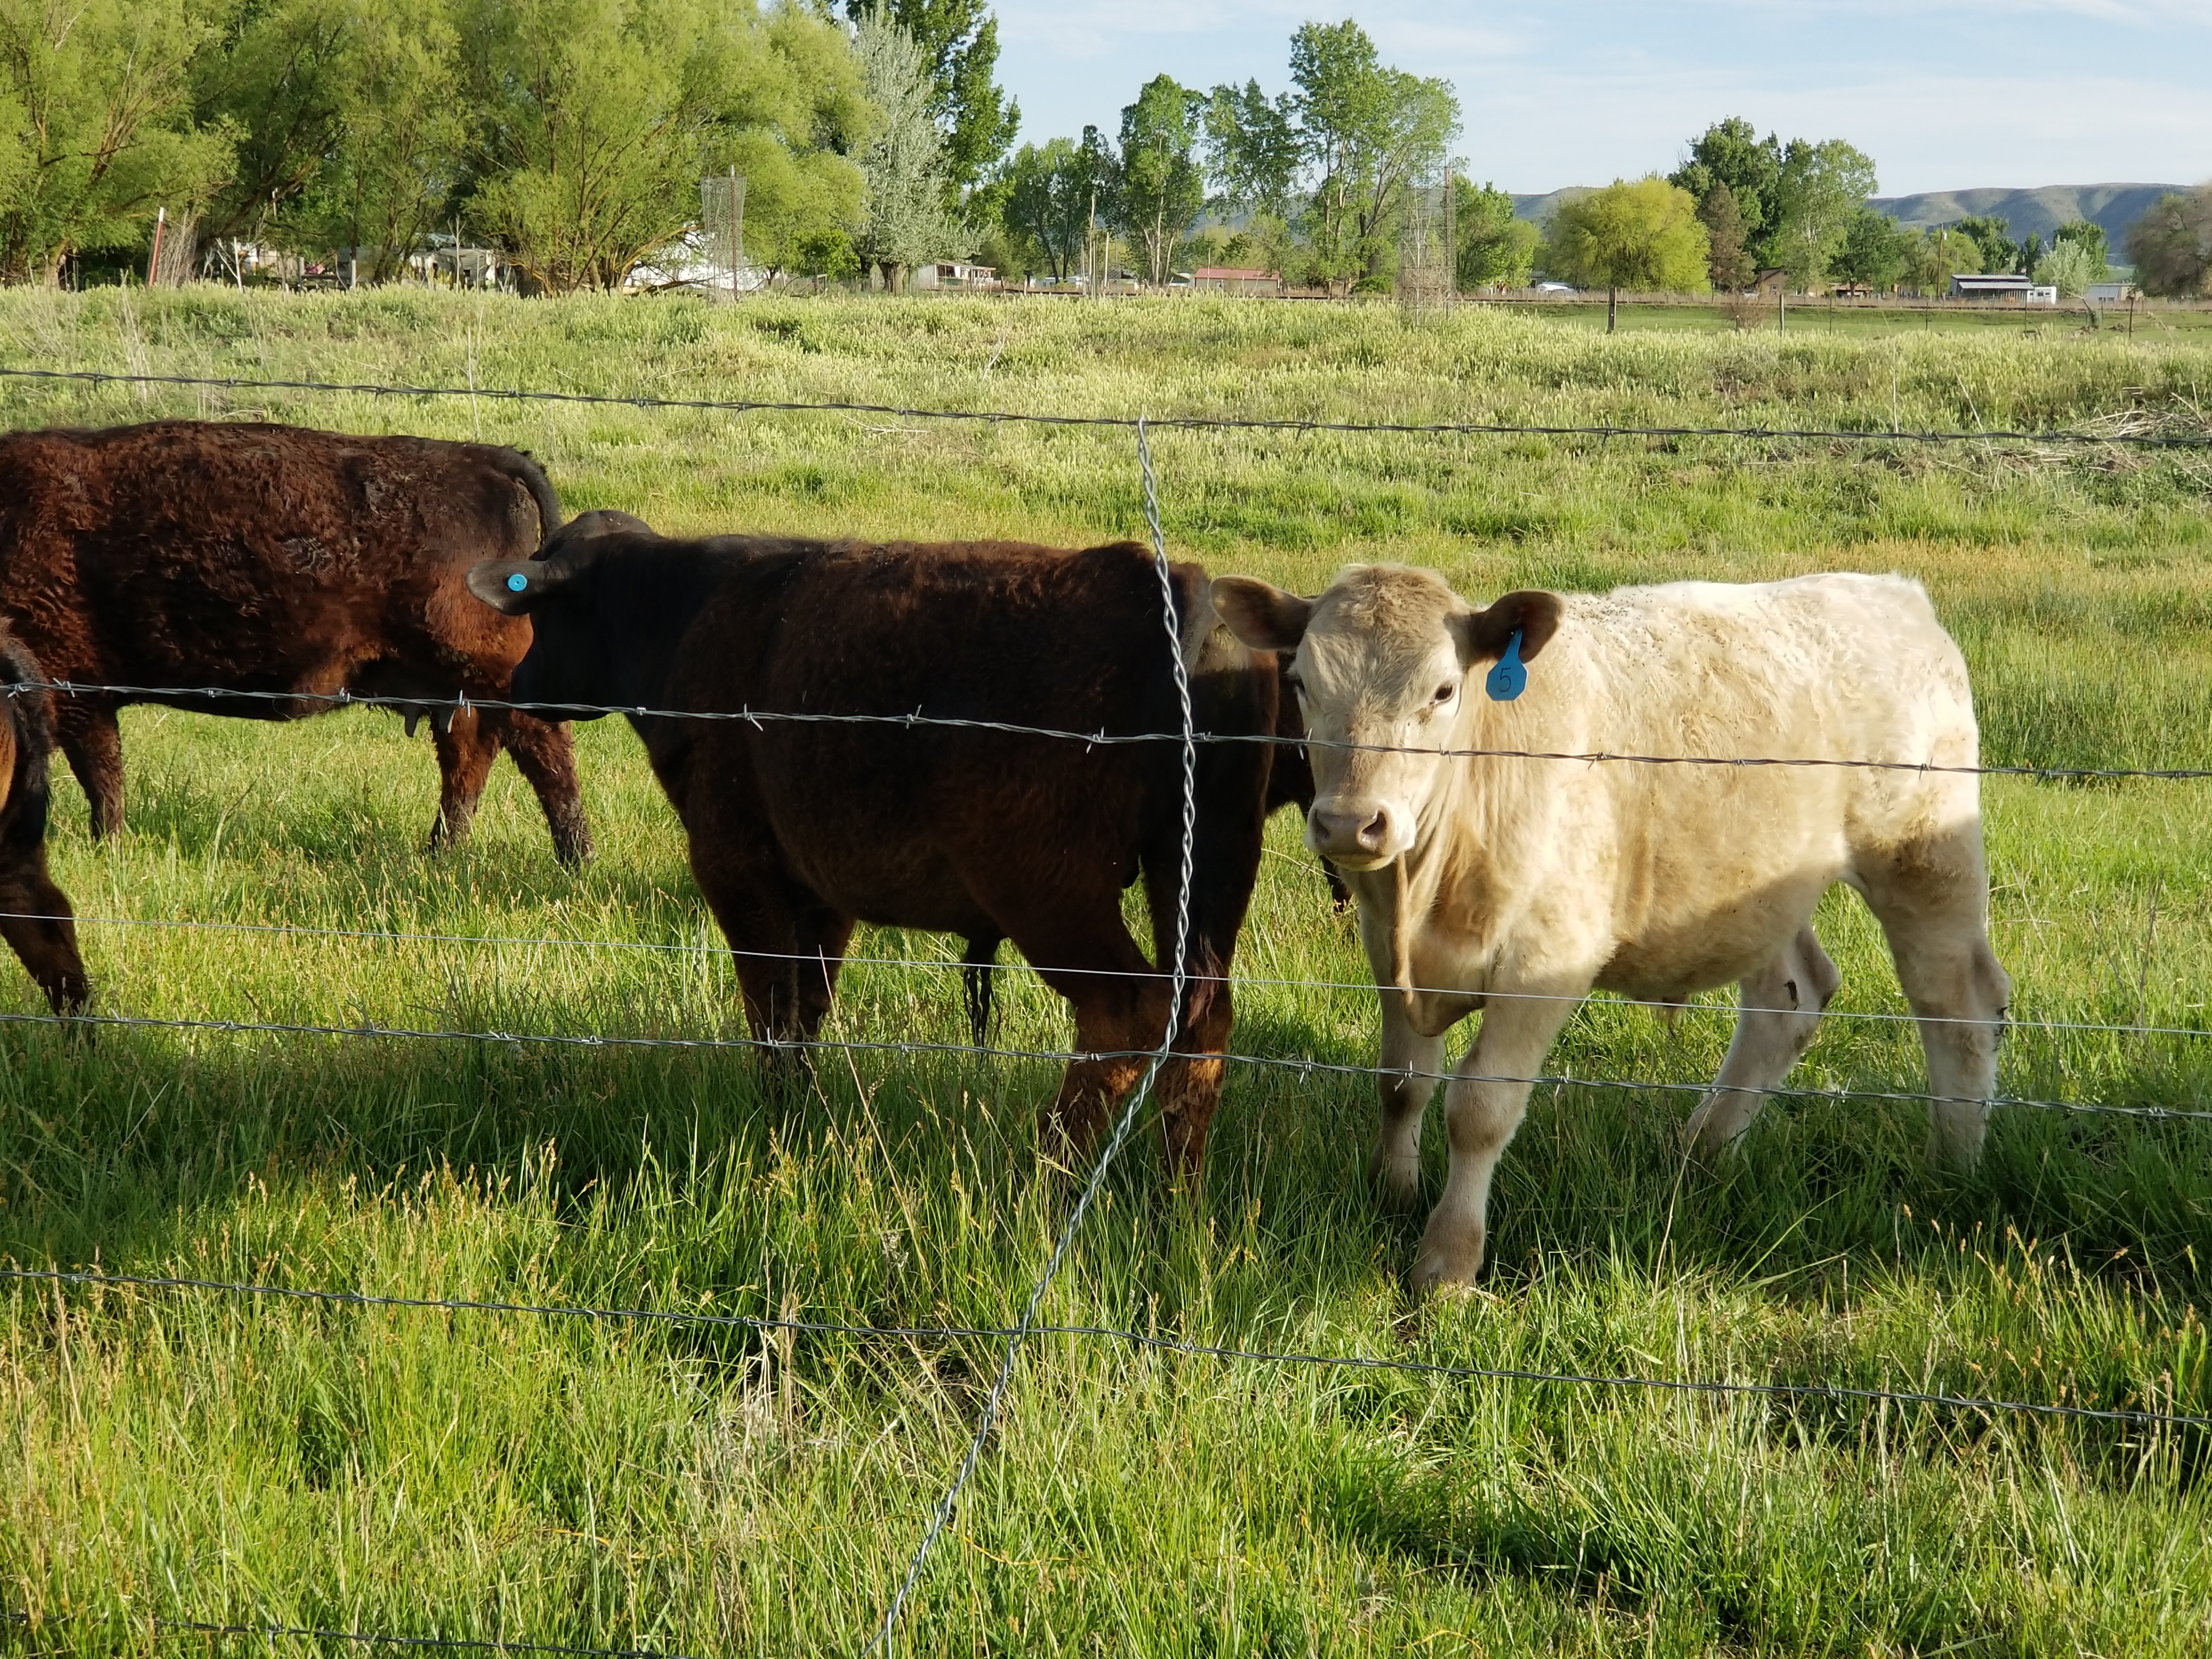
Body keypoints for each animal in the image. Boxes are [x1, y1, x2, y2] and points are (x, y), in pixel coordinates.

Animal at [0, 420, 592, 863]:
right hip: (454, 688)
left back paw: (574, 859)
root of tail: (490, 458)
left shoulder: (71, 684)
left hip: (484, 670)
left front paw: (109, 848)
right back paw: (442, 853)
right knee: (470, 758)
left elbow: (99, 775)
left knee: (541, 750)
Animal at [466, 516, 1290, 1170]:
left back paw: (1045, 1180)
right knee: (1202, 1026)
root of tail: (1177, 587)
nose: (519, 683)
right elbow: (806, 1012)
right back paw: (1175, 1209)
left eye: (546, 616)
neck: (688, 617)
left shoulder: (737, 871)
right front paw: (800, 1119)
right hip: (1203, 874)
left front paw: (777, 1127)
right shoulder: (822, 894)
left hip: (1051, 894)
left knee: (1129, 1012)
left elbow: (772, 1015)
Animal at [1211, 564, 2010, 1294]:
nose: (1351, 823)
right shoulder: (1386, 945)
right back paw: (1699, 1154)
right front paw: (1393, 1195)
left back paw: (1952, 1171)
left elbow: (1479, 1109)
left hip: (1923, 859)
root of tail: (1889, 591)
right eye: (1302, 683)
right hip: (1758, 887)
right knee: (1790, 1000)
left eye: (1441, 691)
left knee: (1959, 1005)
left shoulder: (1546, 960)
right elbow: (1402, 1082)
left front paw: (1448, 1264)